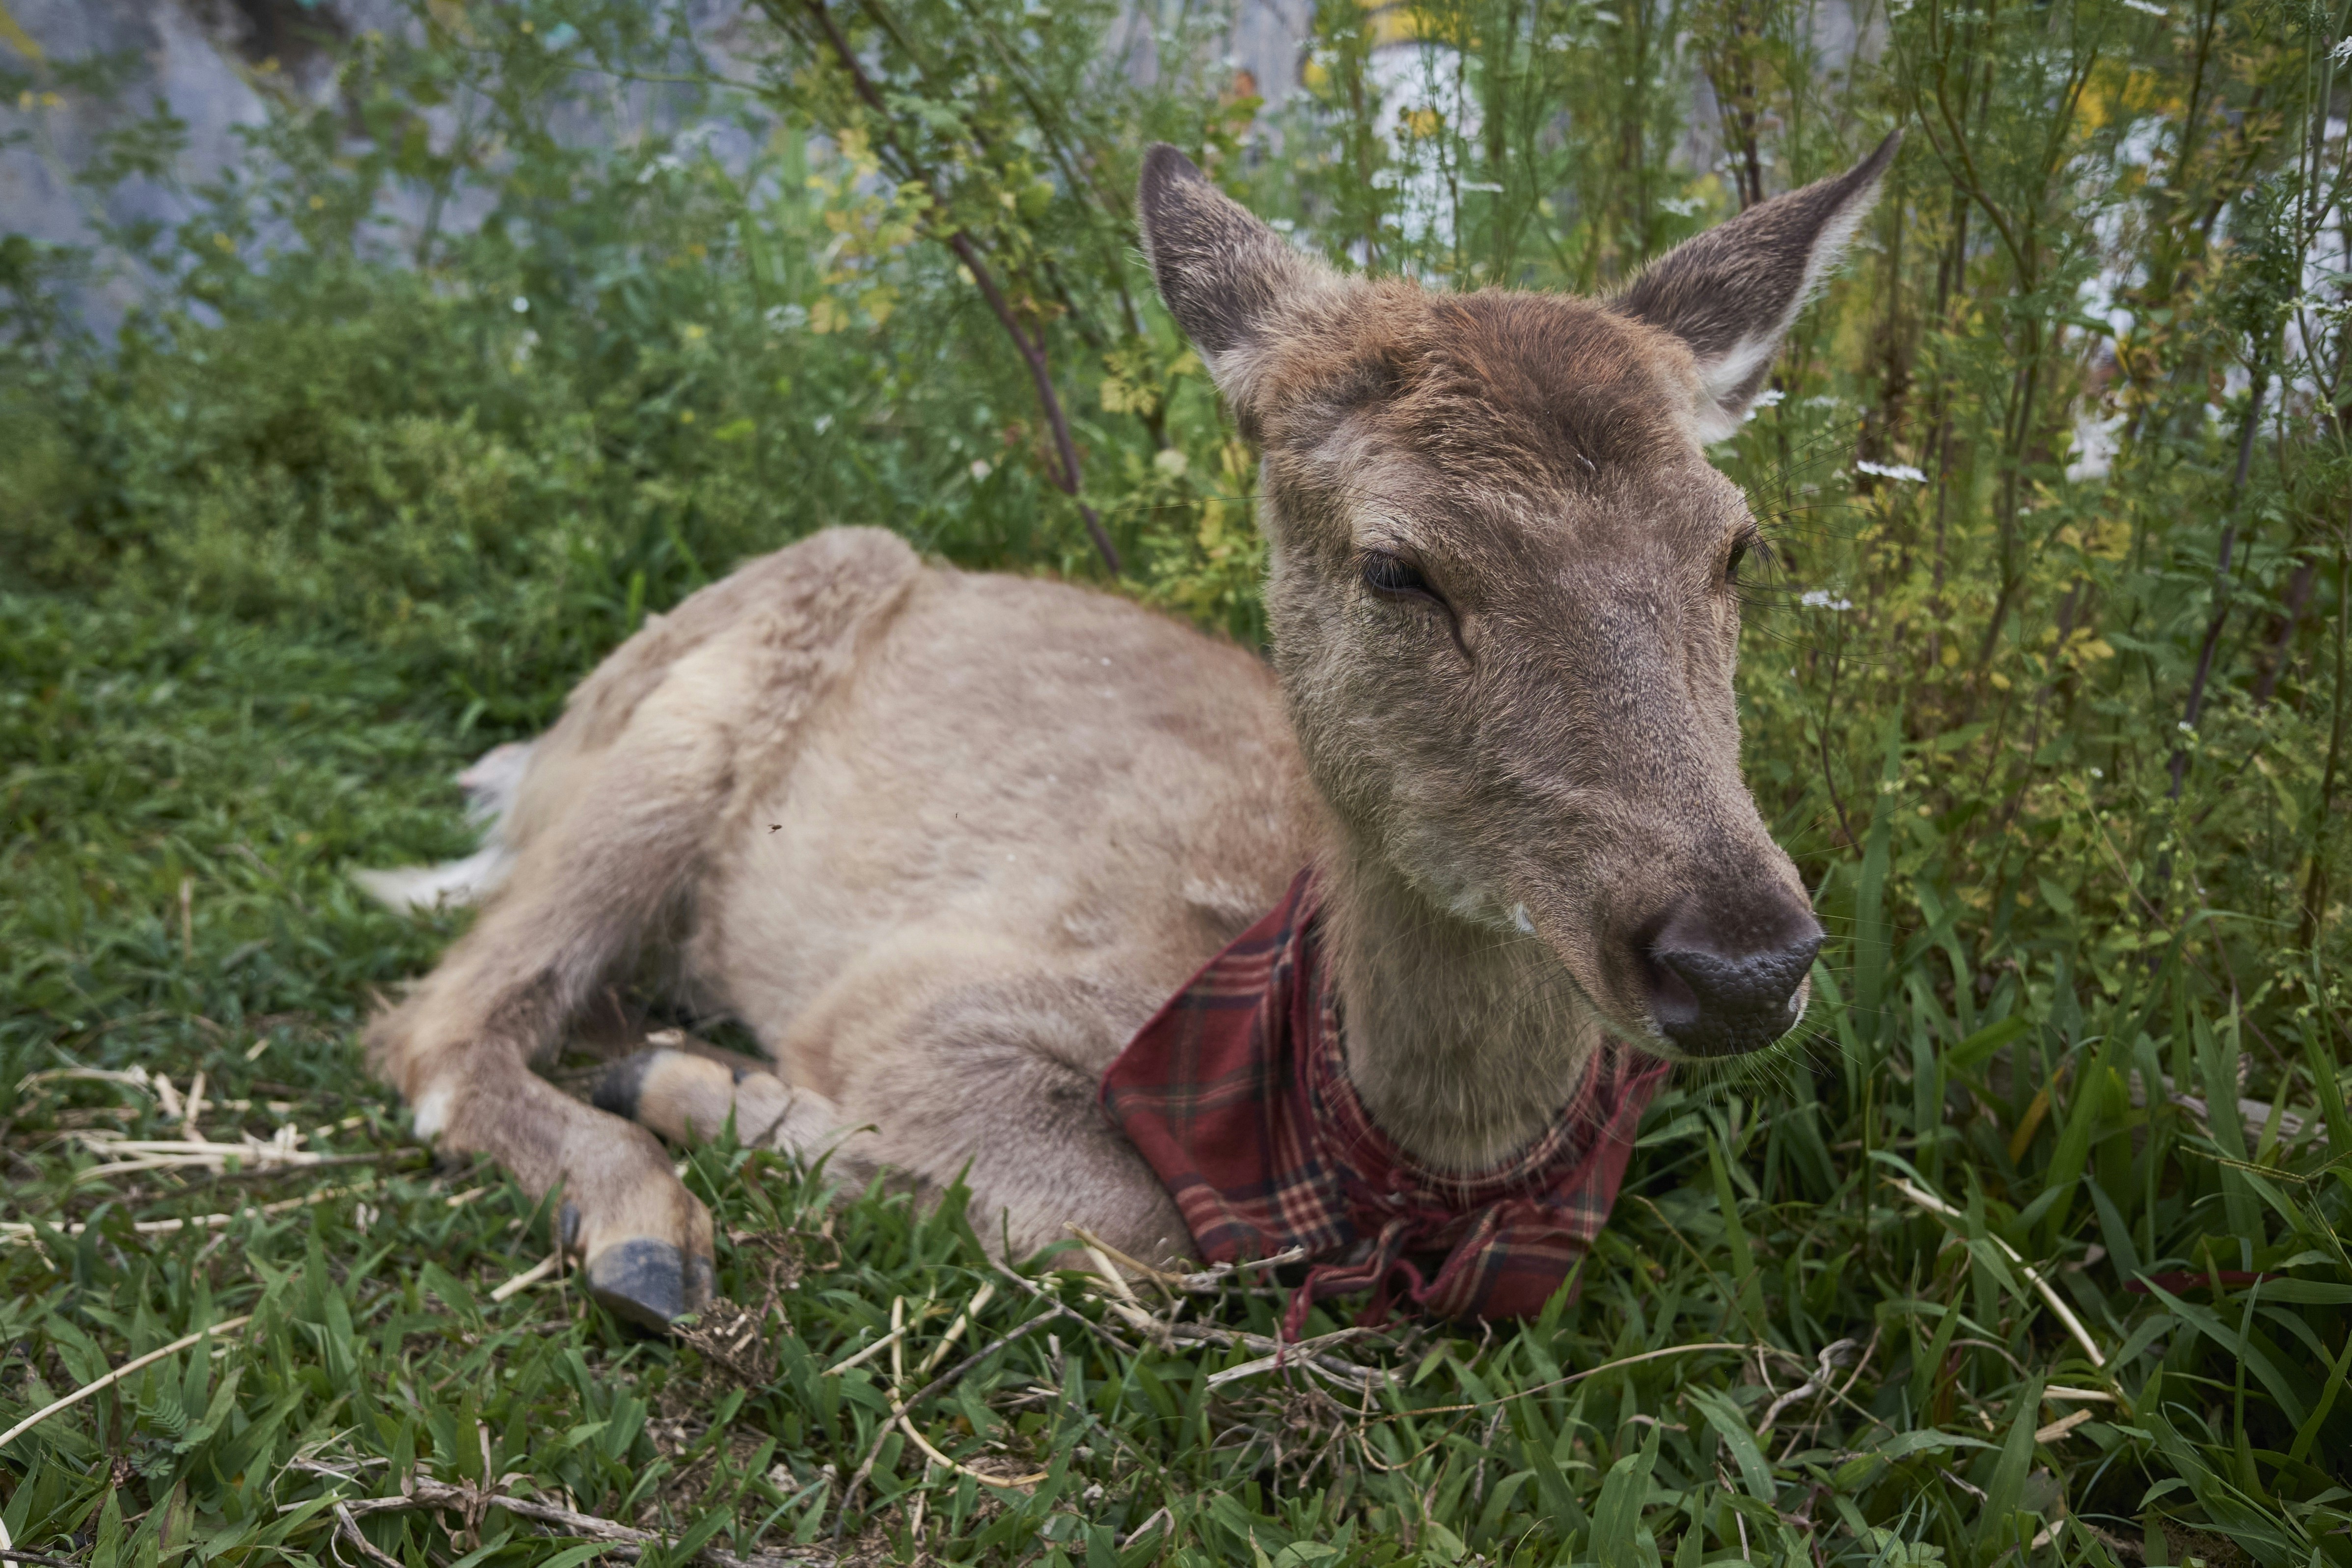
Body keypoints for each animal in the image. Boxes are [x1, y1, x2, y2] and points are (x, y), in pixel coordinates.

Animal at [360, 137, 1895, 1329]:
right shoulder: (922, 995)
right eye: (1397, 566)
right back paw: (647, 1225)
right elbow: (1133, 1224)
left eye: (1737, 544)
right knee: (434, 1022)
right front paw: (724, 1094)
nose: (1743, 958)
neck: (1395, 1172)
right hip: (676, 738)